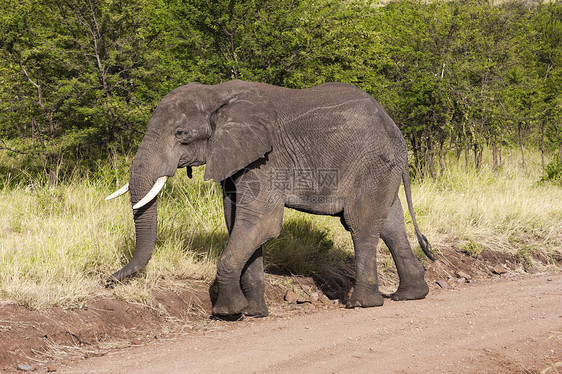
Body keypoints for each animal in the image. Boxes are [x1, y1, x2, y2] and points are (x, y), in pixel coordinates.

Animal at [105, 80, 434, 318]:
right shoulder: (238, 159)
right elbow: (237, 223)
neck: (216, 94)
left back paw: (361, 304)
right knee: (390, 225)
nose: (108, 280)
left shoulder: (267, 160)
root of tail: (395, 130)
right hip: (380, 169)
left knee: (360, 224)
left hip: (370, 163)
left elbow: (260, 223)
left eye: (180, 133)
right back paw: (411, 295)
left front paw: (228, 312)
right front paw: (254, 313)